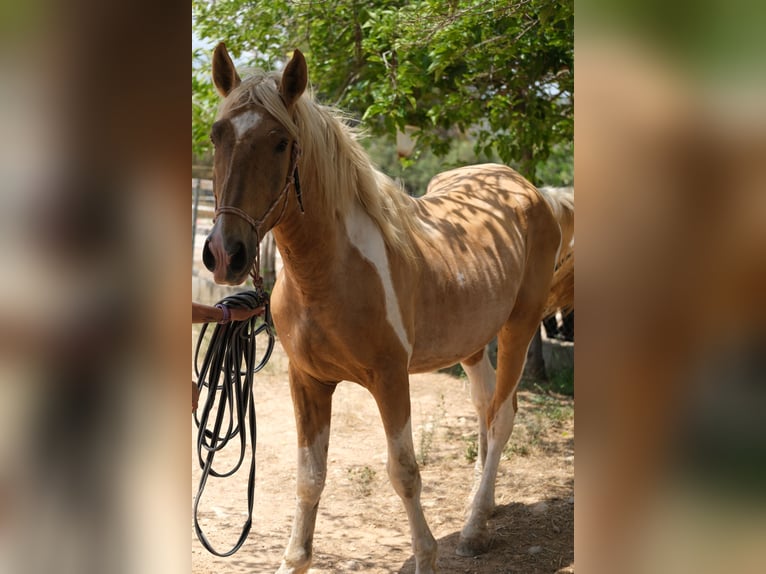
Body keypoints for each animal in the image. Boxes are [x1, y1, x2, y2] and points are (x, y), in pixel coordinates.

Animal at [204, 42, 576, 572]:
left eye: (280, 142)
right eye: (218, 135)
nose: (224, 253)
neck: (328, 273)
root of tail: (532, 191)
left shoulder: (390, 378)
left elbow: (403, 471)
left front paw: (426, 555)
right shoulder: (307, 381)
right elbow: (309, 476)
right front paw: (293, 559)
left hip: (519, 328)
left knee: (502, 416)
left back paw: (473, 528)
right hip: (471, 343)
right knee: (484, 408)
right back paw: (482, 507)